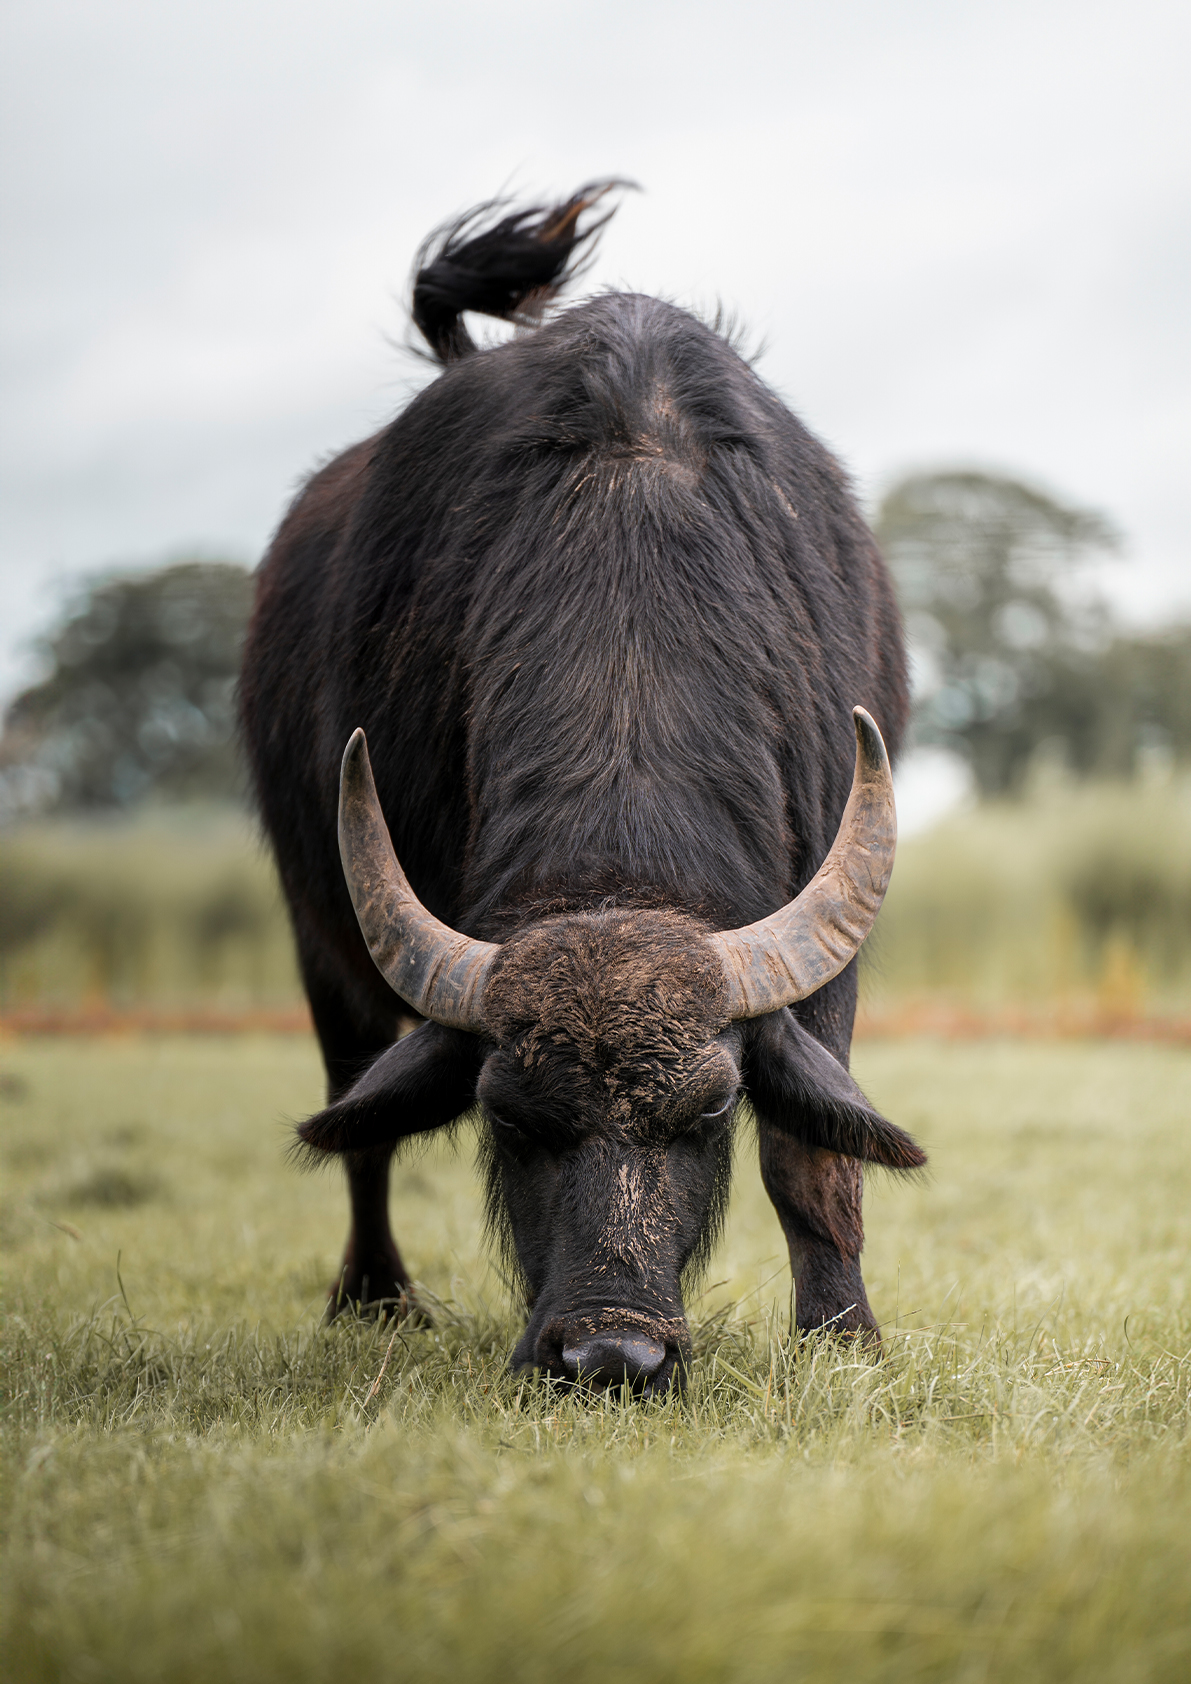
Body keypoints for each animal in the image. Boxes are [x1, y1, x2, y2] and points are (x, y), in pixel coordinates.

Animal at [240, 185, 925, 1396]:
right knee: (360, 1115)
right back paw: (376, 1299)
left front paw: (843, 1336)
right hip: (321, 938)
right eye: (510, 1118)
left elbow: (811, 1154)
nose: (611, 1351)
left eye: (711, 1106)